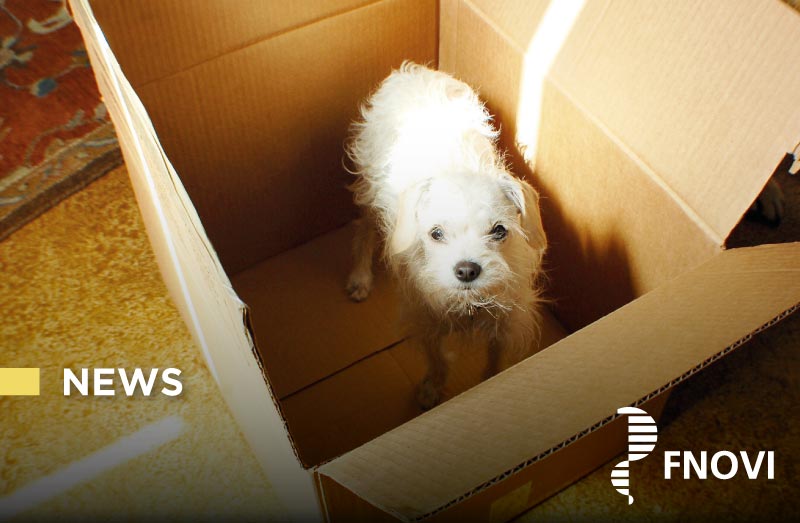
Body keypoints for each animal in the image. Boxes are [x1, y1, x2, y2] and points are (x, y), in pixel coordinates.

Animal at [344, 62, 547, 409]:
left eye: (499, 230)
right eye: (436, 233)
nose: (466, 270)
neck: (470, 304)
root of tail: (411, 72)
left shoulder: (507, 322)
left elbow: (496, 359)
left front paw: (493, 382)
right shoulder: (425, 319)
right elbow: (437, 357)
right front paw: (431, 388)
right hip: (369, 190)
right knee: (363, 229)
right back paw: (359, 277)